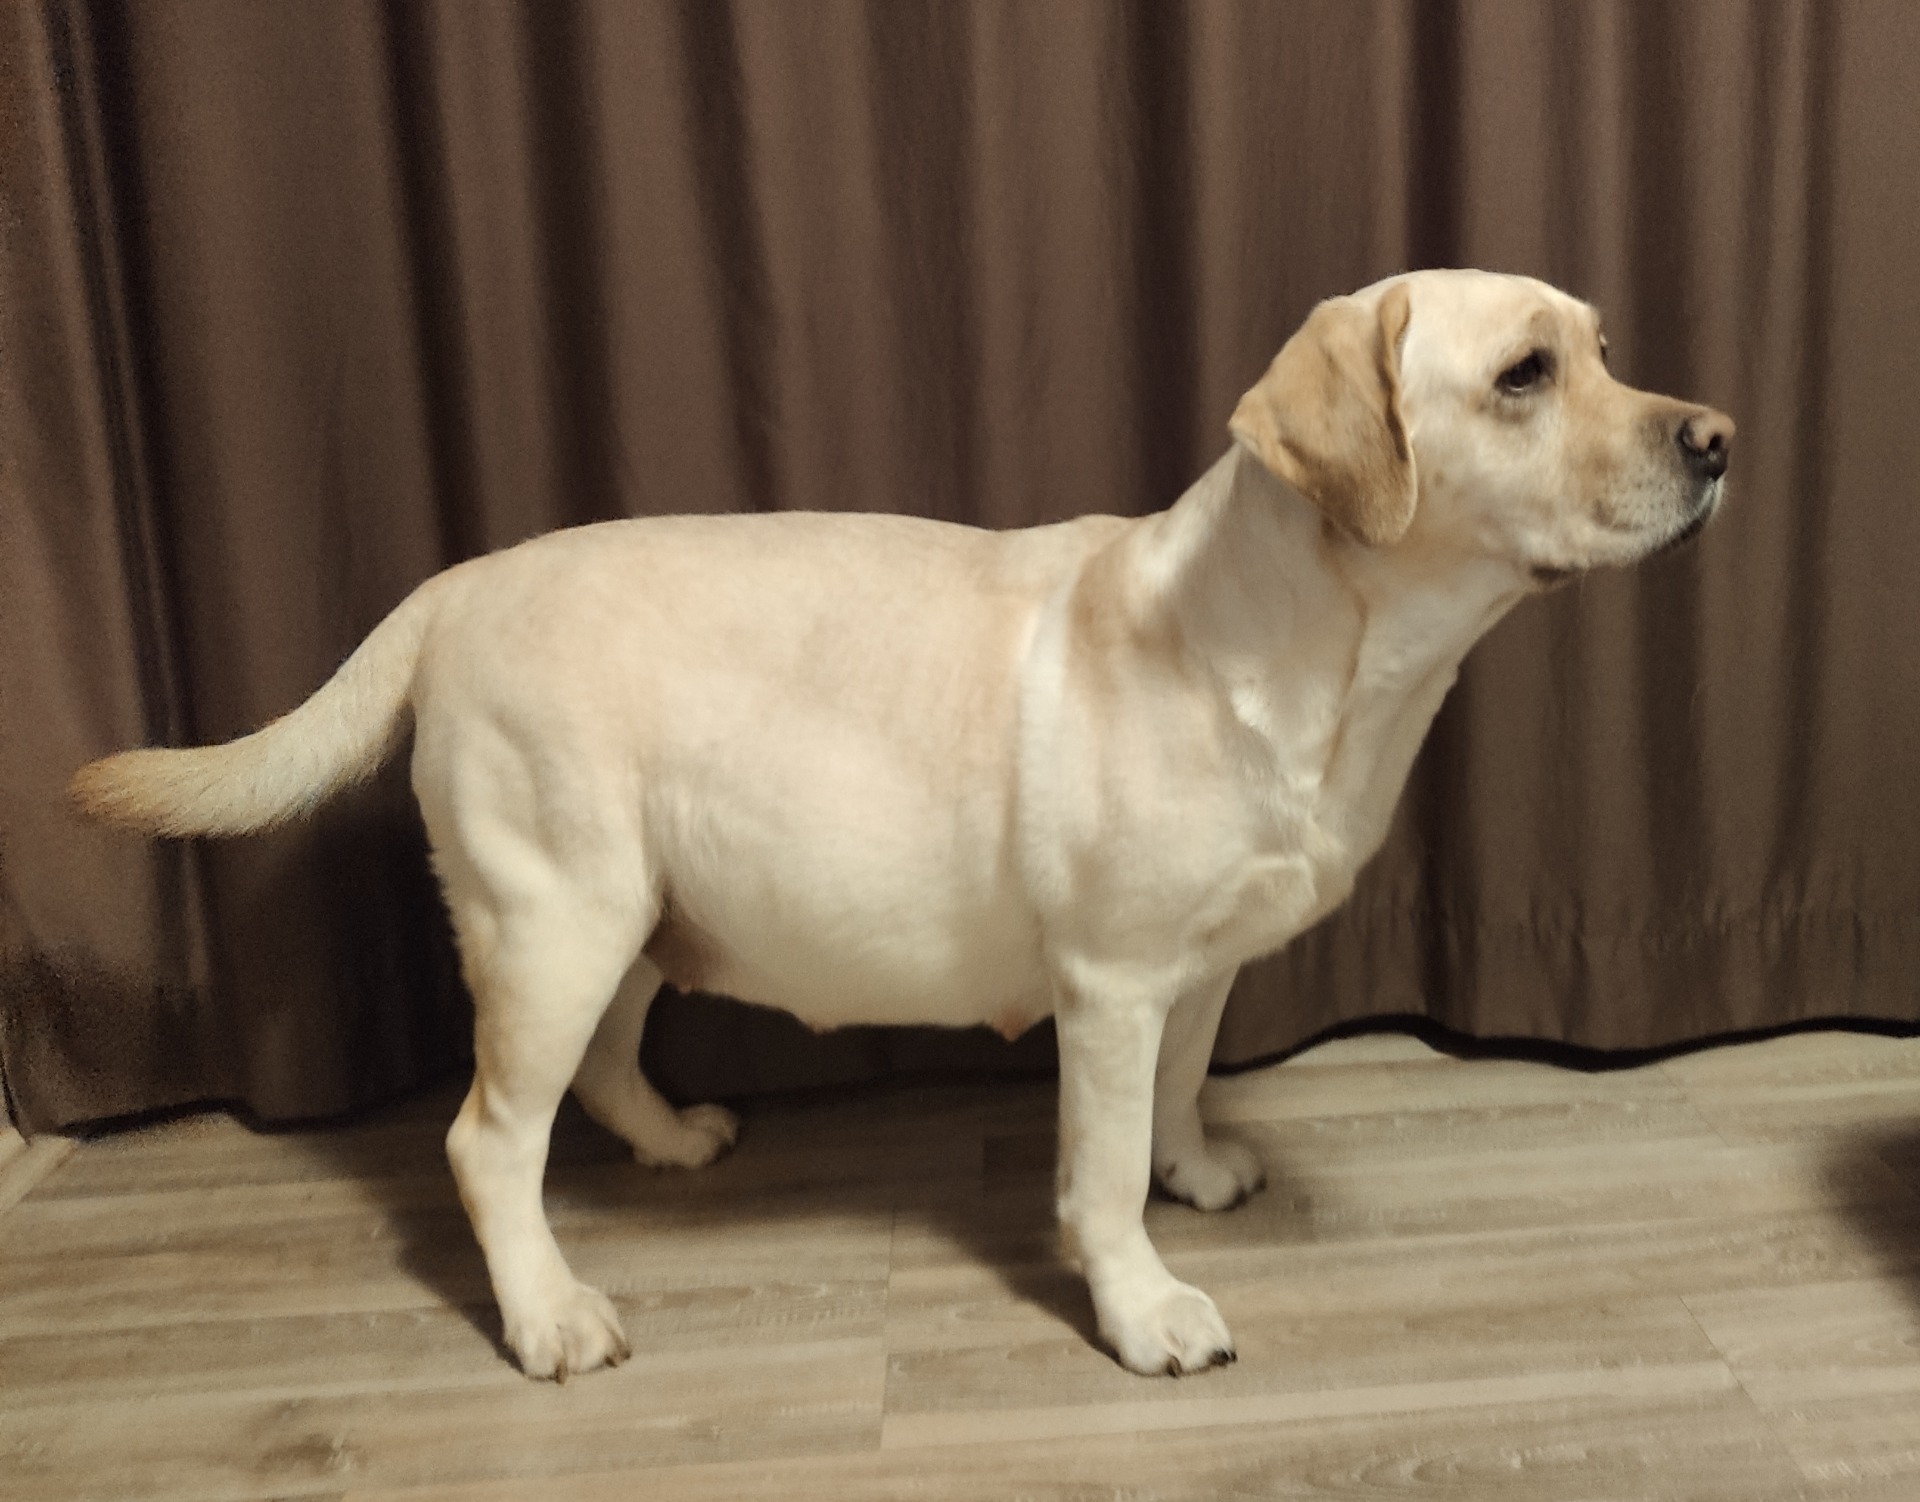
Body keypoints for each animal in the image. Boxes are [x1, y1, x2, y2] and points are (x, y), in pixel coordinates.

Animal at [71, 269, 1733, 1380]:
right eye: (1524, 374)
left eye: (1604, 348)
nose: (1720, 436)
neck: (1310, 646)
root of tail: (449, 587)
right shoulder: (1111, 979)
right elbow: (1100, 1168)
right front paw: (1145, 1305)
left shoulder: (1196, 968)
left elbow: (1180, 1094)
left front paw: (1200, 1171)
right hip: (555, 917)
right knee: (489, 1138)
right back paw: (549, 1315)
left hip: (641, 916)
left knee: (604, 1071)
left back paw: (675, 1138)